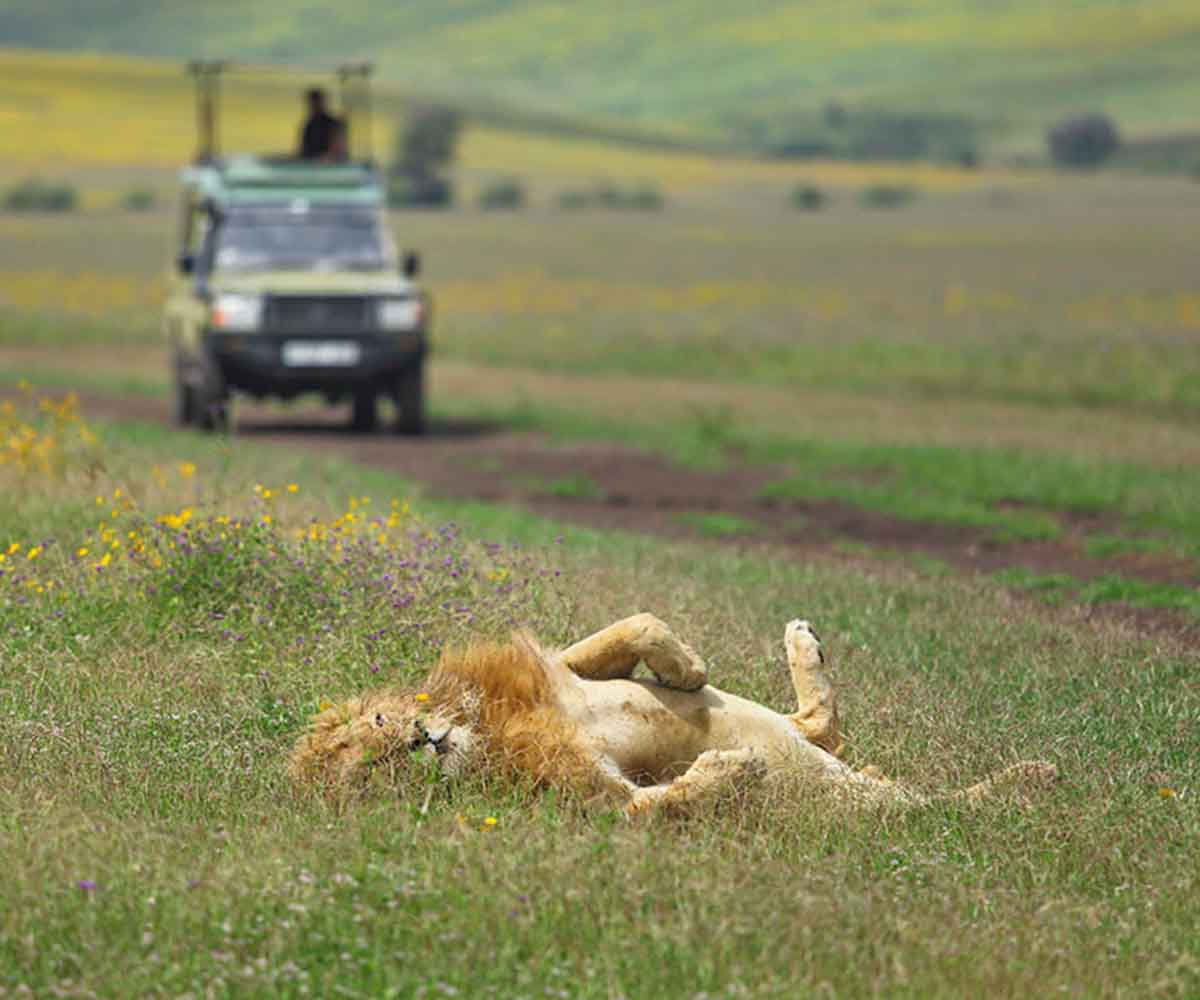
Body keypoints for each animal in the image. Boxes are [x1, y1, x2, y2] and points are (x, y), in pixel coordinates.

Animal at [292, 612, 1060, 816]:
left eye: (378, 732)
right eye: (369, 776)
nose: (419, 742)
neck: (480, 732)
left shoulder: (561, 673)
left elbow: (632, 628)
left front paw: (686, 666)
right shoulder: (598, 801)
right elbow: (660, 803)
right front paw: (731, 769)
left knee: (818, 724)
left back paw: (802, 641)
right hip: (863, 804)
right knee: (935, 806)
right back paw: (1032, 777)